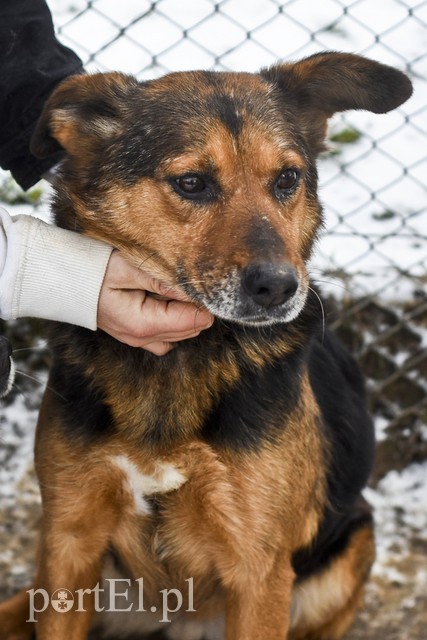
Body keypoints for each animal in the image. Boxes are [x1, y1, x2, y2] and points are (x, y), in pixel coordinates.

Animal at [0, 51, 412, 640]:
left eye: (287, 179)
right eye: (192, 183)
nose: (280, 288)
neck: (175, 364)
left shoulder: (259, 570)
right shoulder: (68, 542)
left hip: (351, 545)